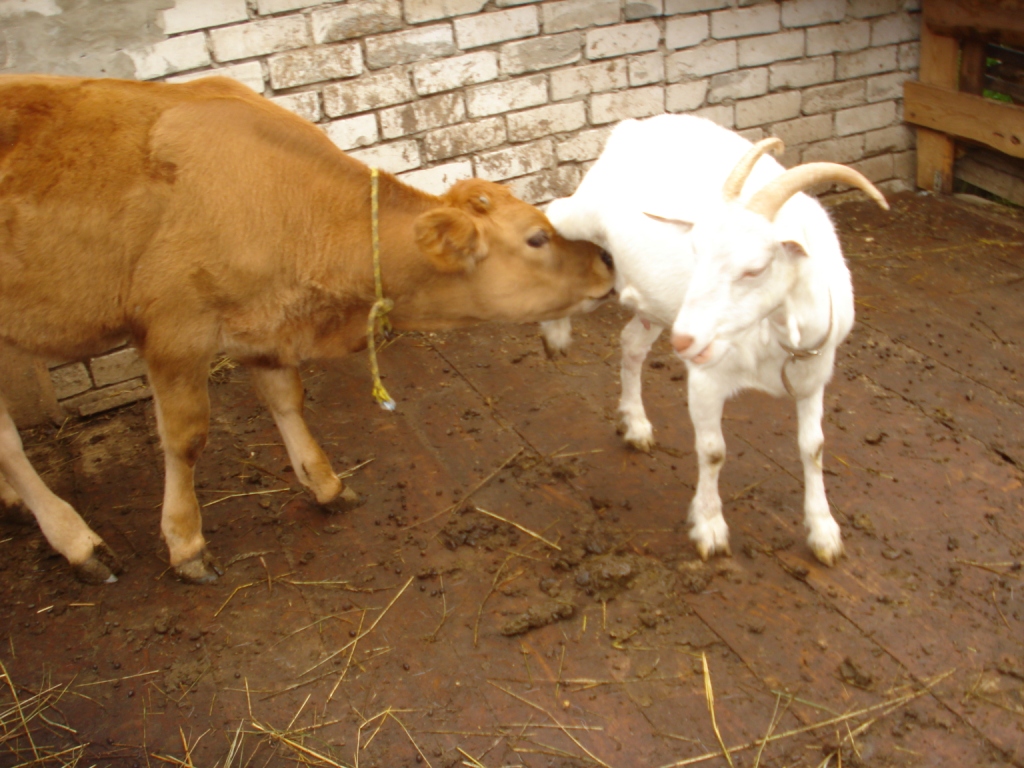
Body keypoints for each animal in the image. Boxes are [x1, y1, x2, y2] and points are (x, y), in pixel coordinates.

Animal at [0, 75, 614, 585]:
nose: (608, 260)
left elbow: (287, 399)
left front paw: (325, 484)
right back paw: (77, 542)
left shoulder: (265, 324)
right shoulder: (176, 330)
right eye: (537, 237)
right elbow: (186, 438)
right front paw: (185, 543)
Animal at [543, 114, 889, 566]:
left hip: (657, 303)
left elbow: (813, 447)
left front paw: (824, 533)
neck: (774, 336)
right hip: (584, 212)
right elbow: (713, 451)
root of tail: (634, 125)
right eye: (696, 251)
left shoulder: (813, 376)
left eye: (755, 269)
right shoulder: (707, 379)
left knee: (631, 344)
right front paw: (709, 528)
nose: (684, 340)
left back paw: (635, 424)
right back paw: (556, 332)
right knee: (551, 213)